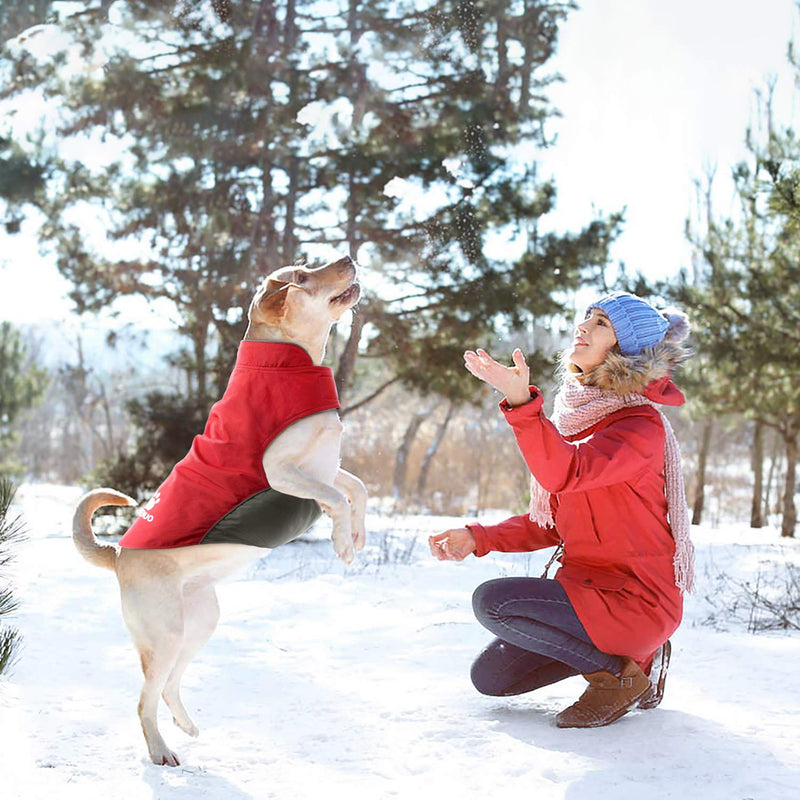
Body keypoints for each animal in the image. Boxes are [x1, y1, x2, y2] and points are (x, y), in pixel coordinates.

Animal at [72, 256, 366, 768]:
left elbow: (357, 490)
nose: (348, 258)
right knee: (144, 700)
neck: (291, 363)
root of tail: (118, 554)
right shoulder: (284, 473)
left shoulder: (325, 467)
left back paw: (186, 725)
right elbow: (336, 499)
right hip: (166, 635)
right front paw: (342, 543)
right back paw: (161, 751)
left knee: (169, 686)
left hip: (200, 622)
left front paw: (359, 535)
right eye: (302, 276)